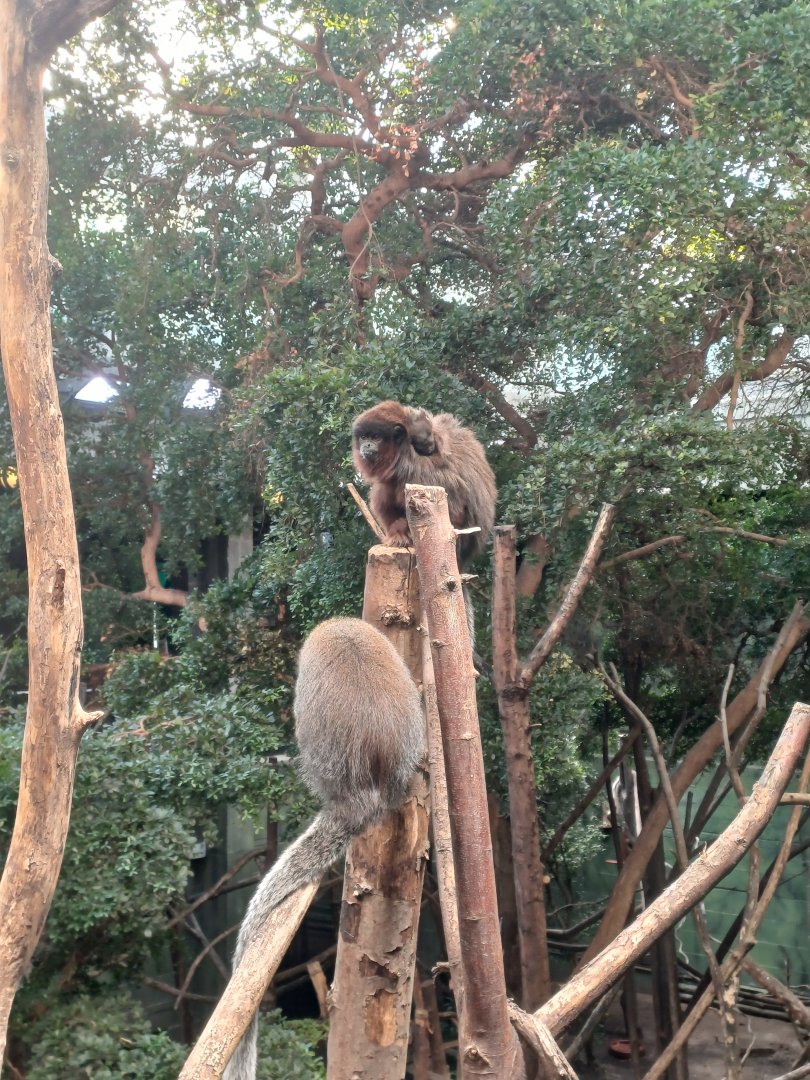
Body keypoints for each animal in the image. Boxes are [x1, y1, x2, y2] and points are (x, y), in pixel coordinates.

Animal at [352, 400, 497, 568]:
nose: (367, 445)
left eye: (376, 437)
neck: (404, 454)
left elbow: (454, 511)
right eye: (364, 437)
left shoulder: (418, 475)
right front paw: (398, 533)